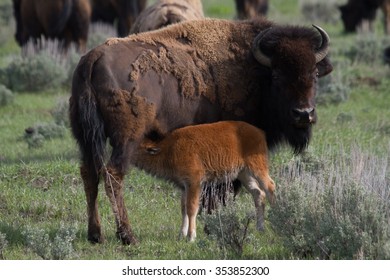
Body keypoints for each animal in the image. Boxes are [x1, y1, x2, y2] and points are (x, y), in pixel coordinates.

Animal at [133, 120, 276, 241]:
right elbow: (183, 208)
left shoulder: (194, 182)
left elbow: (192, 207)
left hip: (257, 168)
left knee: (270, 187)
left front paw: (191, 237)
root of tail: (259, 132)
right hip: (243, 174)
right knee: (258, 193)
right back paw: (260, 228)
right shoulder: (184, 186)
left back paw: (276, 215)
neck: (168, 149)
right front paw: (181, 235)